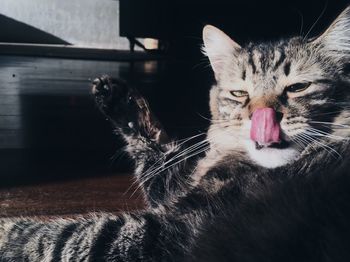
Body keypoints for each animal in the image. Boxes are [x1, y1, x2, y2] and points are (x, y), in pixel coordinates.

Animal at [2, 6, 350, 262]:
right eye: (239, 94)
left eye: (298, 87)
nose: (262, 119)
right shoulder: (176, 185)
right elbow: (155, 153)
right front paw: (117, 98)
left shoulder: (166, 231)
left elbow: (53, 237)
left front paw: (7, 230)